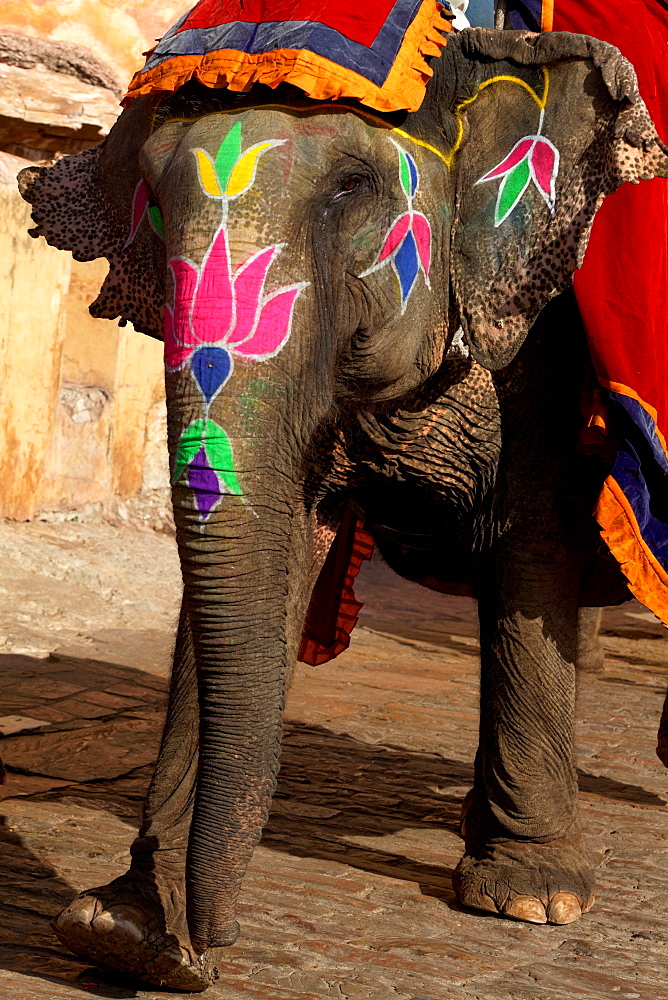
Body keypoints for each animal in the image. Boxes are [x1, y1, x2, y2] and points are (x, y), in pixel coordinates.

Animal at [17, 25, 668, 992]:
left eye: (351, 187)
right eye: (153, 202)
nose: (209, 945)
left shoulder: (543, 335)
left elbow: (530, 547)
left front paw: (531, 897)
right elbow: (280, 543)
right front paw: (118, 927)